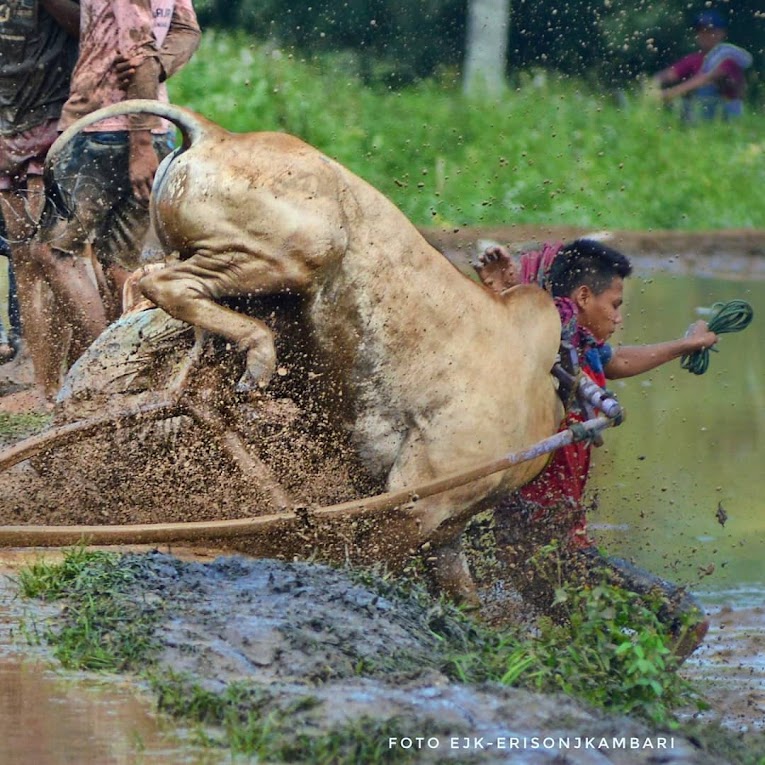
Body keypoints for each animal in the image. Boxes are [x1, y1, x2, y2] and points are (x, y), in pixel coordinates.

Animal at [44, 101, 564, 600]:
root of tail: (213, 134)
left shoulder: (444, 526)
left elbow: (460, 588)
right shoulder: (419, 500)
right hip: (294, 251)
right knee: (166, 285)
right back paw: (258, 356)